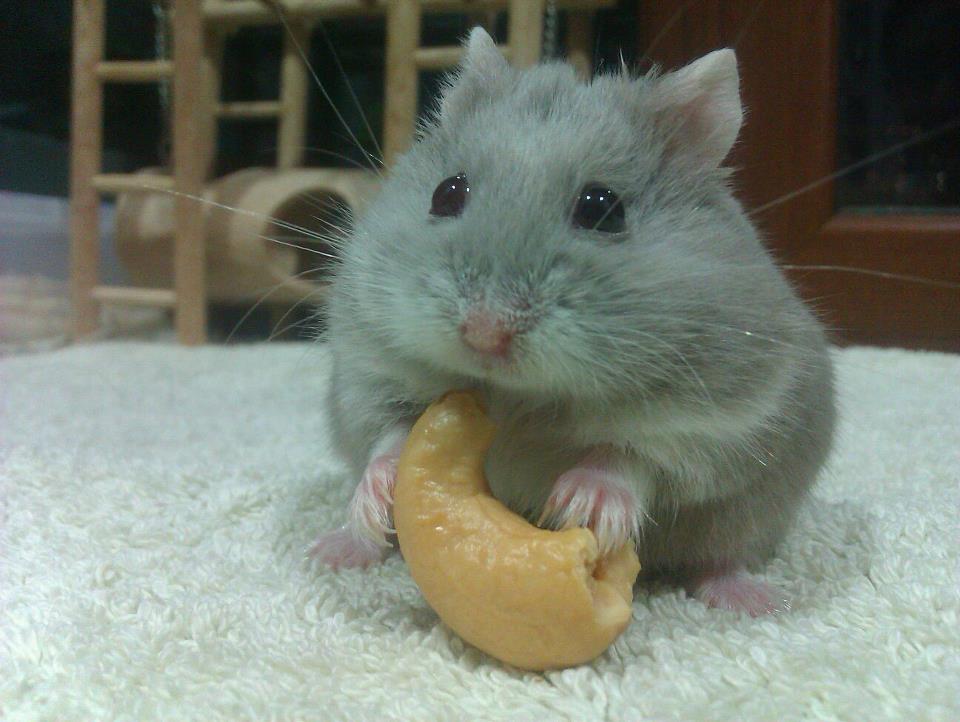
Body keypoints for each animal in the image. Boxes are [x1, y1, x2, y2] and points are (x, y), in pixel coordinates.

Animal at [308, 28, 832, 612]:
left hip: (745, 515)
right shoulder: (368, 373)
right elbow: (390, 434)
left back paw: (756, 601)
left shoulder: (716, 422)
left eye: (603, 208)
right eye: (446, 192)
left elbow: (633, 458)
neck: (521, 397)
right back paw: (331, 552)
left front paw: (579, 507)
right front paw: (378, 495)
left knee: (719, 558)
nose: (483, 333)